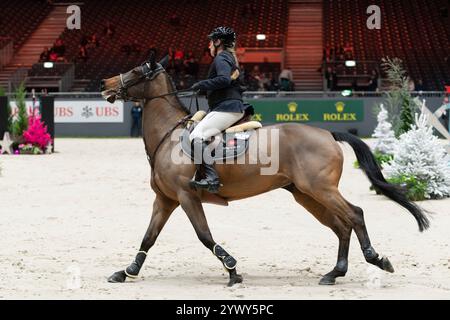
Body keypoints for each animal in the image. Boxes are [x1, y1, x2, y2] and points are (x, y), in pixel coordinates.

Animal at [101, 53, 428, 286]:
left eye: (137, 71)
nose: (105, 84)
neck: (169, 136)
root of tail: (328, 133)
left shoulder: (186, 195)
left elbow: (204, 235)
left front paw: (232, 269)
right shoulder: (166, 199)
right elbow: (149, 236)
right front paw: (126, 271)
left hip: (320, 189)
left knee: (355, 215)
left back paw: (376, 259)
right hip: (306, 194)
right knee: (342, 225)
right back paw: (334, 273)